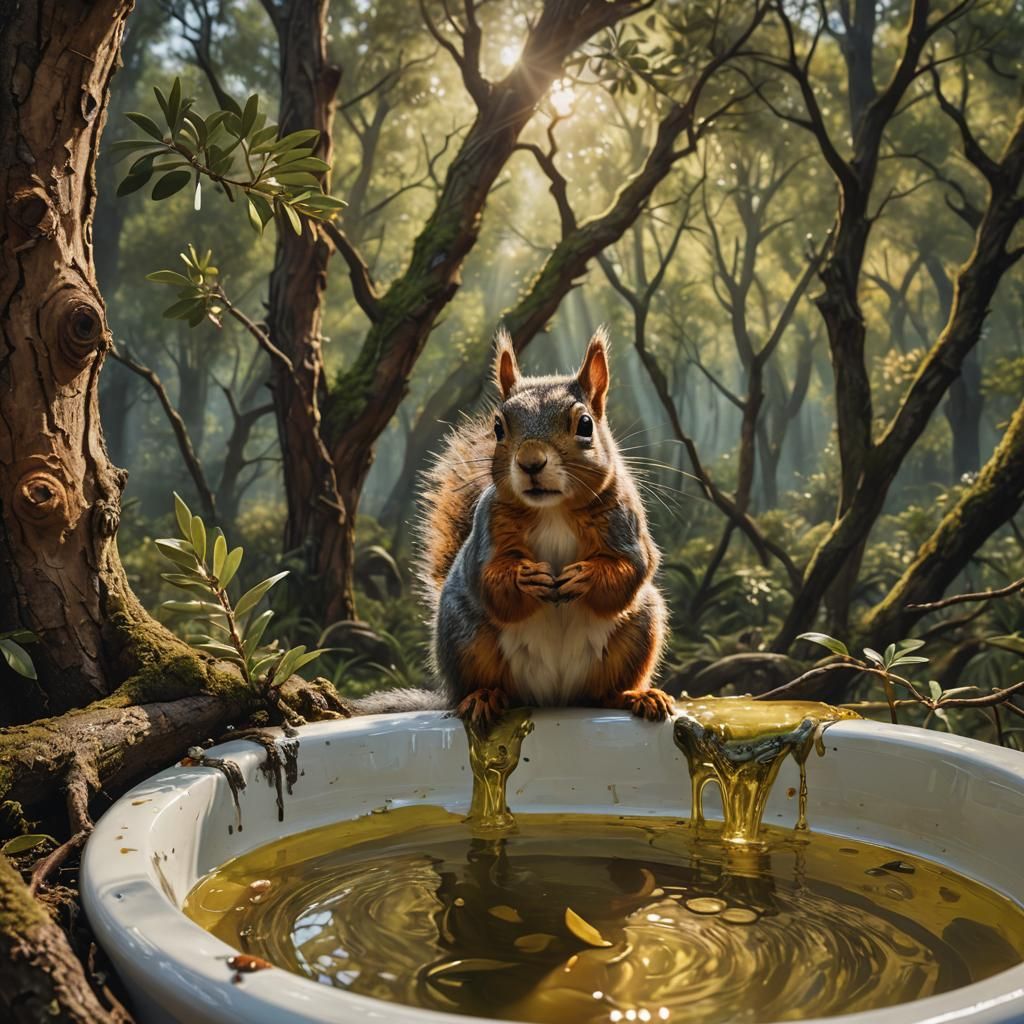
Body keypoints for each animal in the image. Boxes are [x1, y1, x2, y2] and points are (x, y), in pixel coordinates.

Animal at [411, 327, 673, 729]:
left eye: (585, 425)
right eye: (498, 427)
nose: (531, 462)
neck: (553, 510)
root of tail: (554, 697)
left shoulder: (624, 525)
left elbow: (630, 569)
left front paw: (585, 576)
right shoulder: (488, 533)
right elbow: (490, 579)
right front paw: (525, 577)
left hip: (640, 628)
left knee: (603, 693)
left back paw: (635, 695)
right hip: (464, 634)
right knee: (477, 683)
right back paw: (482, 698)